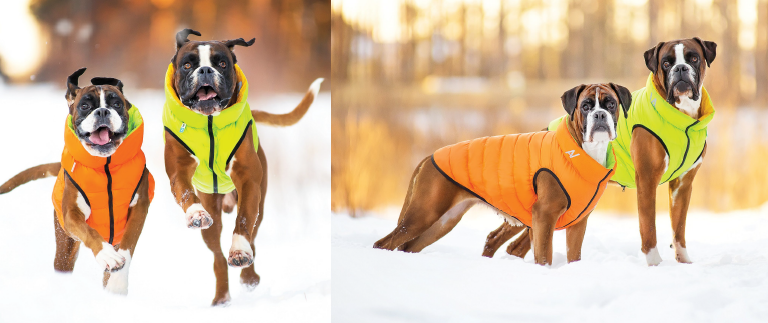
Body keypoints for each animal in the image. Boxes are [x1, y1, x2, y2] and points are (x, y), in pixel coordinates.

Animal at [0, 68, 154, 294]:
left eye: (116, 104)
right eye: (85, 106)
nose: (102, 112)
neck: (105, 165)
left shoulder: (139, 208)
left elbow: (128, 245)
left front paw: (117, 283)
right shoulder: (72, 216)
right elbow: (89, 232)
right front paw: (106, 255)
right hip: (65, 246)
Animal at [165, 29, 324, 306]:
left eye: (221, 63)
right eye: (187, 65)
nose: (205, 70)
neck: (209, 121)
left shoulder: (249, 183)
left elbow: (243, 222)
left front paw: (239, 251)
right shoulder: (177, 170)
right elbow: (185, 193)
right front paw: (195, 214)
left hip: (259, 204)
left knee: (252, 236)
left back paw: (249, 276)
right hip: (213, 219)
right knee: (218, 256)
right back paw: (221, 297)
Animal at [372, 83, 632, 266]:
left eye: (610, 104)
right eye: (586, 106)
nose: (599, 115)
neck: (580, 152)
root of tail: (429, 156)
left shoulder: (578, 224)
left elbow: (573, 256)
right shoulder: (543, 216)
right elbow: (544, 257)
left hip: (443, 221)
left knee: (408, 246)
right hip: (423, 214)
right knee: (383, 243)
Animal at [484, 38, 716, 266]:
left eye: (694, 58)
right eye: (666, 63)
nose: (680, 68)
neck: (683, 120)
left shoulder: (682, 186)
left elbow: (679, 229)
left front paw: (684, 263)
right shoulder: (647, 180)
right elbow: (649, 227)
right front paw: (655, 264)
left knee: (515, 246)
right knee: (496, 238)